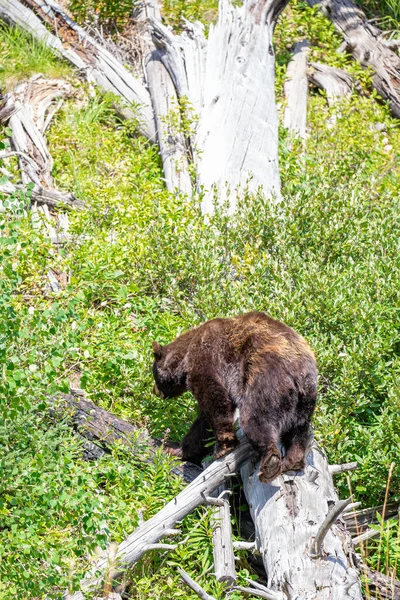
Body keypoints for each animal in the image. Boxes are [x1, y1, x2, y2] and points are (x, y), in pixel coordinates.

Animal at [152, 312, 318, 480]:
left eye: (154, 374)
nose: (155, 391)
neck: (186, 356)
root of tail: (300, 372)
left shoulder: (207, 358)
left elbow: (214, 398)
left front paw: (223, 447)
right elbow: (202, 423)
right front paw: (177, 449)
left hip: (266, 381)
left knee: (255, 419)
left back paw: (270, 462)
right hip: (305, 401)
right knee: (299, 429)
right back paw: (293, 461)